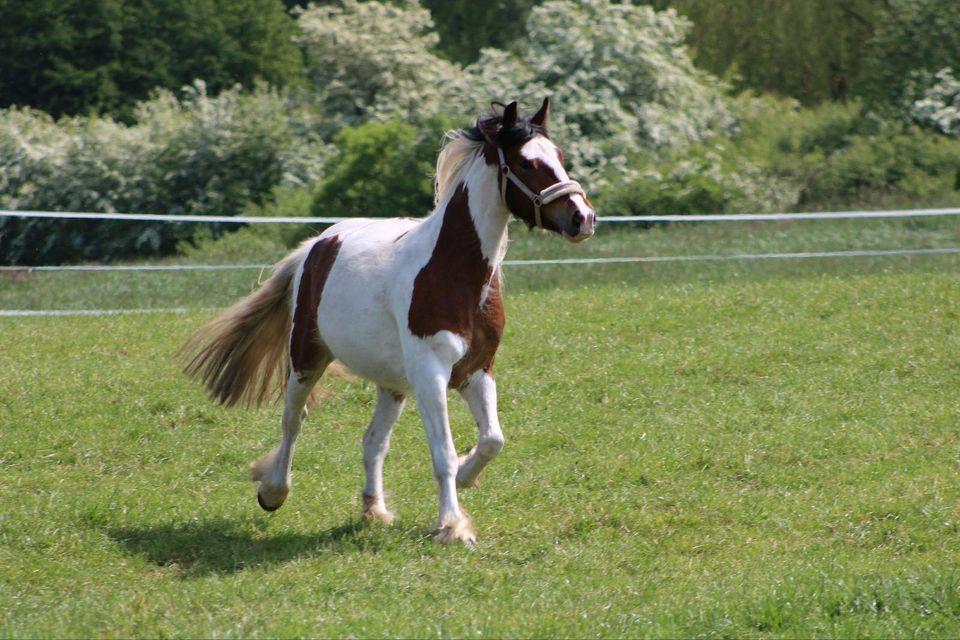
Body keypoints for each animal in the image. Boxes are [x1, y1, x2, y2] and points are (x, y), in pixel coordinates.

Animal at [182, 99, 592, 544]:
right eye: (526, 163)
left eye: (560, 157)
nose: (582, 218)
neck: (453, 272)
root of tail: (316, 245)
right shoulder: (431, 373)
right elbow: (444, 452)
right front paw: (452, 525)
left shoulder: (477, 370)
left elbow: (492, 440)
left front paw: (467, 479)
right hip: (305, 357)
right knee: (294, 420)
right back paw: (273, 491)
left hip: (392, 384)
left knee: (373, 441)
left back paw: (373, 509)